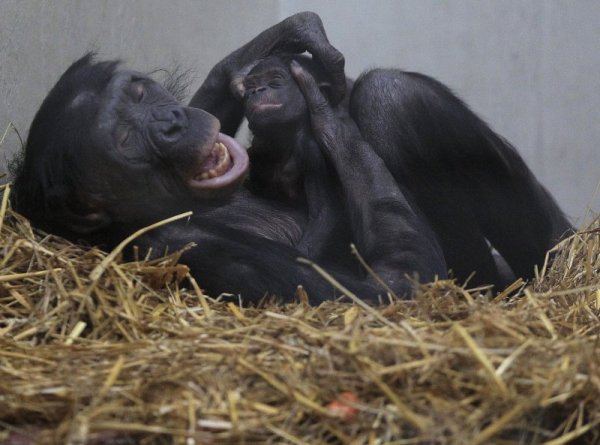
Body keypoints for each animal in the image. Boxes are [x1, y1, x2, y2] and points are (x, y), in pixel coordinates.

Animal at [9, 12, 440, 302]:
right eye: (126, 139)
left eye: (139, 94)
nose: (171, 122)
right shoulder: (189, 246)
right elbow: (387, 286)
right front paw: (326, 113)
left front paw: (296, 33)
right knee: (387, 91)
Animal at [232, 53, 568, 288]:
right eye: (250, 86)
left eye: (276, 79)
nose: (258, 89)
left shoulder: (311, 147)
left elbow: (327, 213)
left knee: (386, 94)